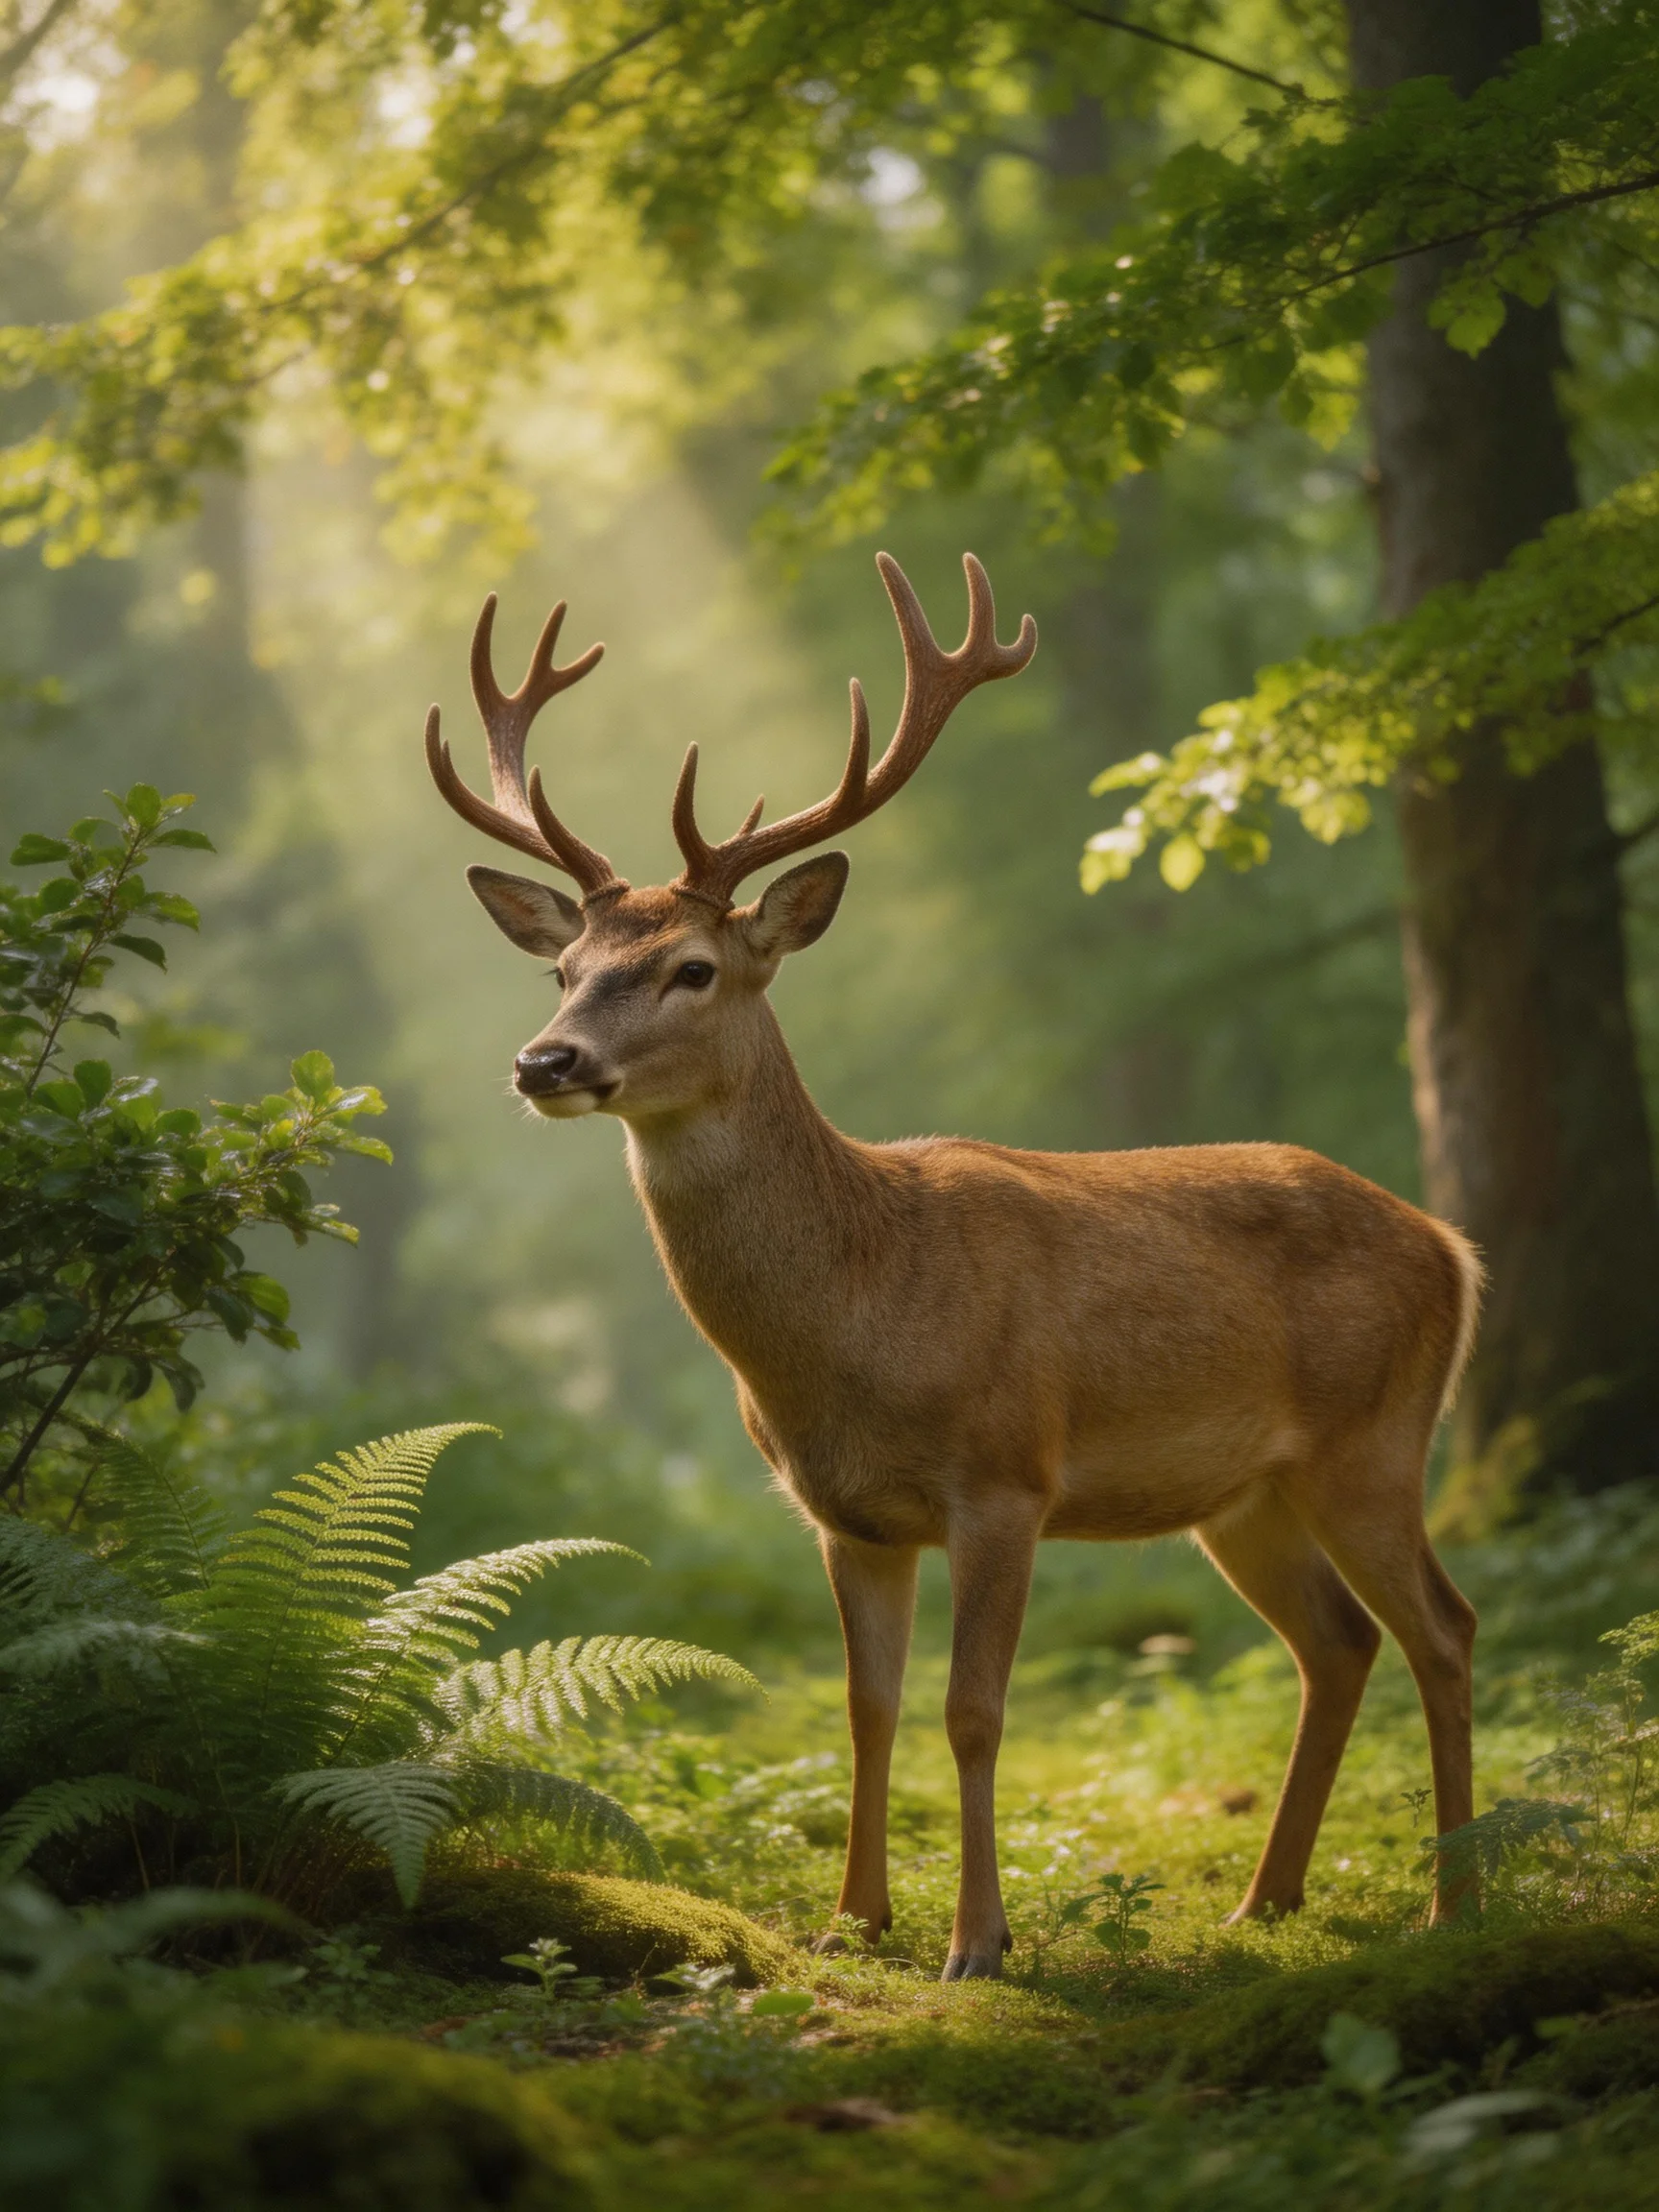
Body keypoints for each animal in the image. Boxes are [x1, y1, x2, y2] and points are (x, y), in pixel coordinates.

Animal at [425, 551, 1482, 1978]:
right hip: (1246, 1493)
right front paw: (850, 1921)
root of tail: (1452, 1248)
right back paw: (1266, 1899)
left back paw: (1453, 1906)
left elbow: (972, 1711)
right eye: (566, 971)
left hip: (1374, 1440)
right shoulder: (844, 1514)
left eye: (692, 968)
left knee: (1444, 1629)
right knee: (1340, 1641)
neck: (859, 1312)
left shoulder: (1005, 1476)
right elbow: (867, 1708)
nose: (547, 1062)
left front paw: (979, 1942)